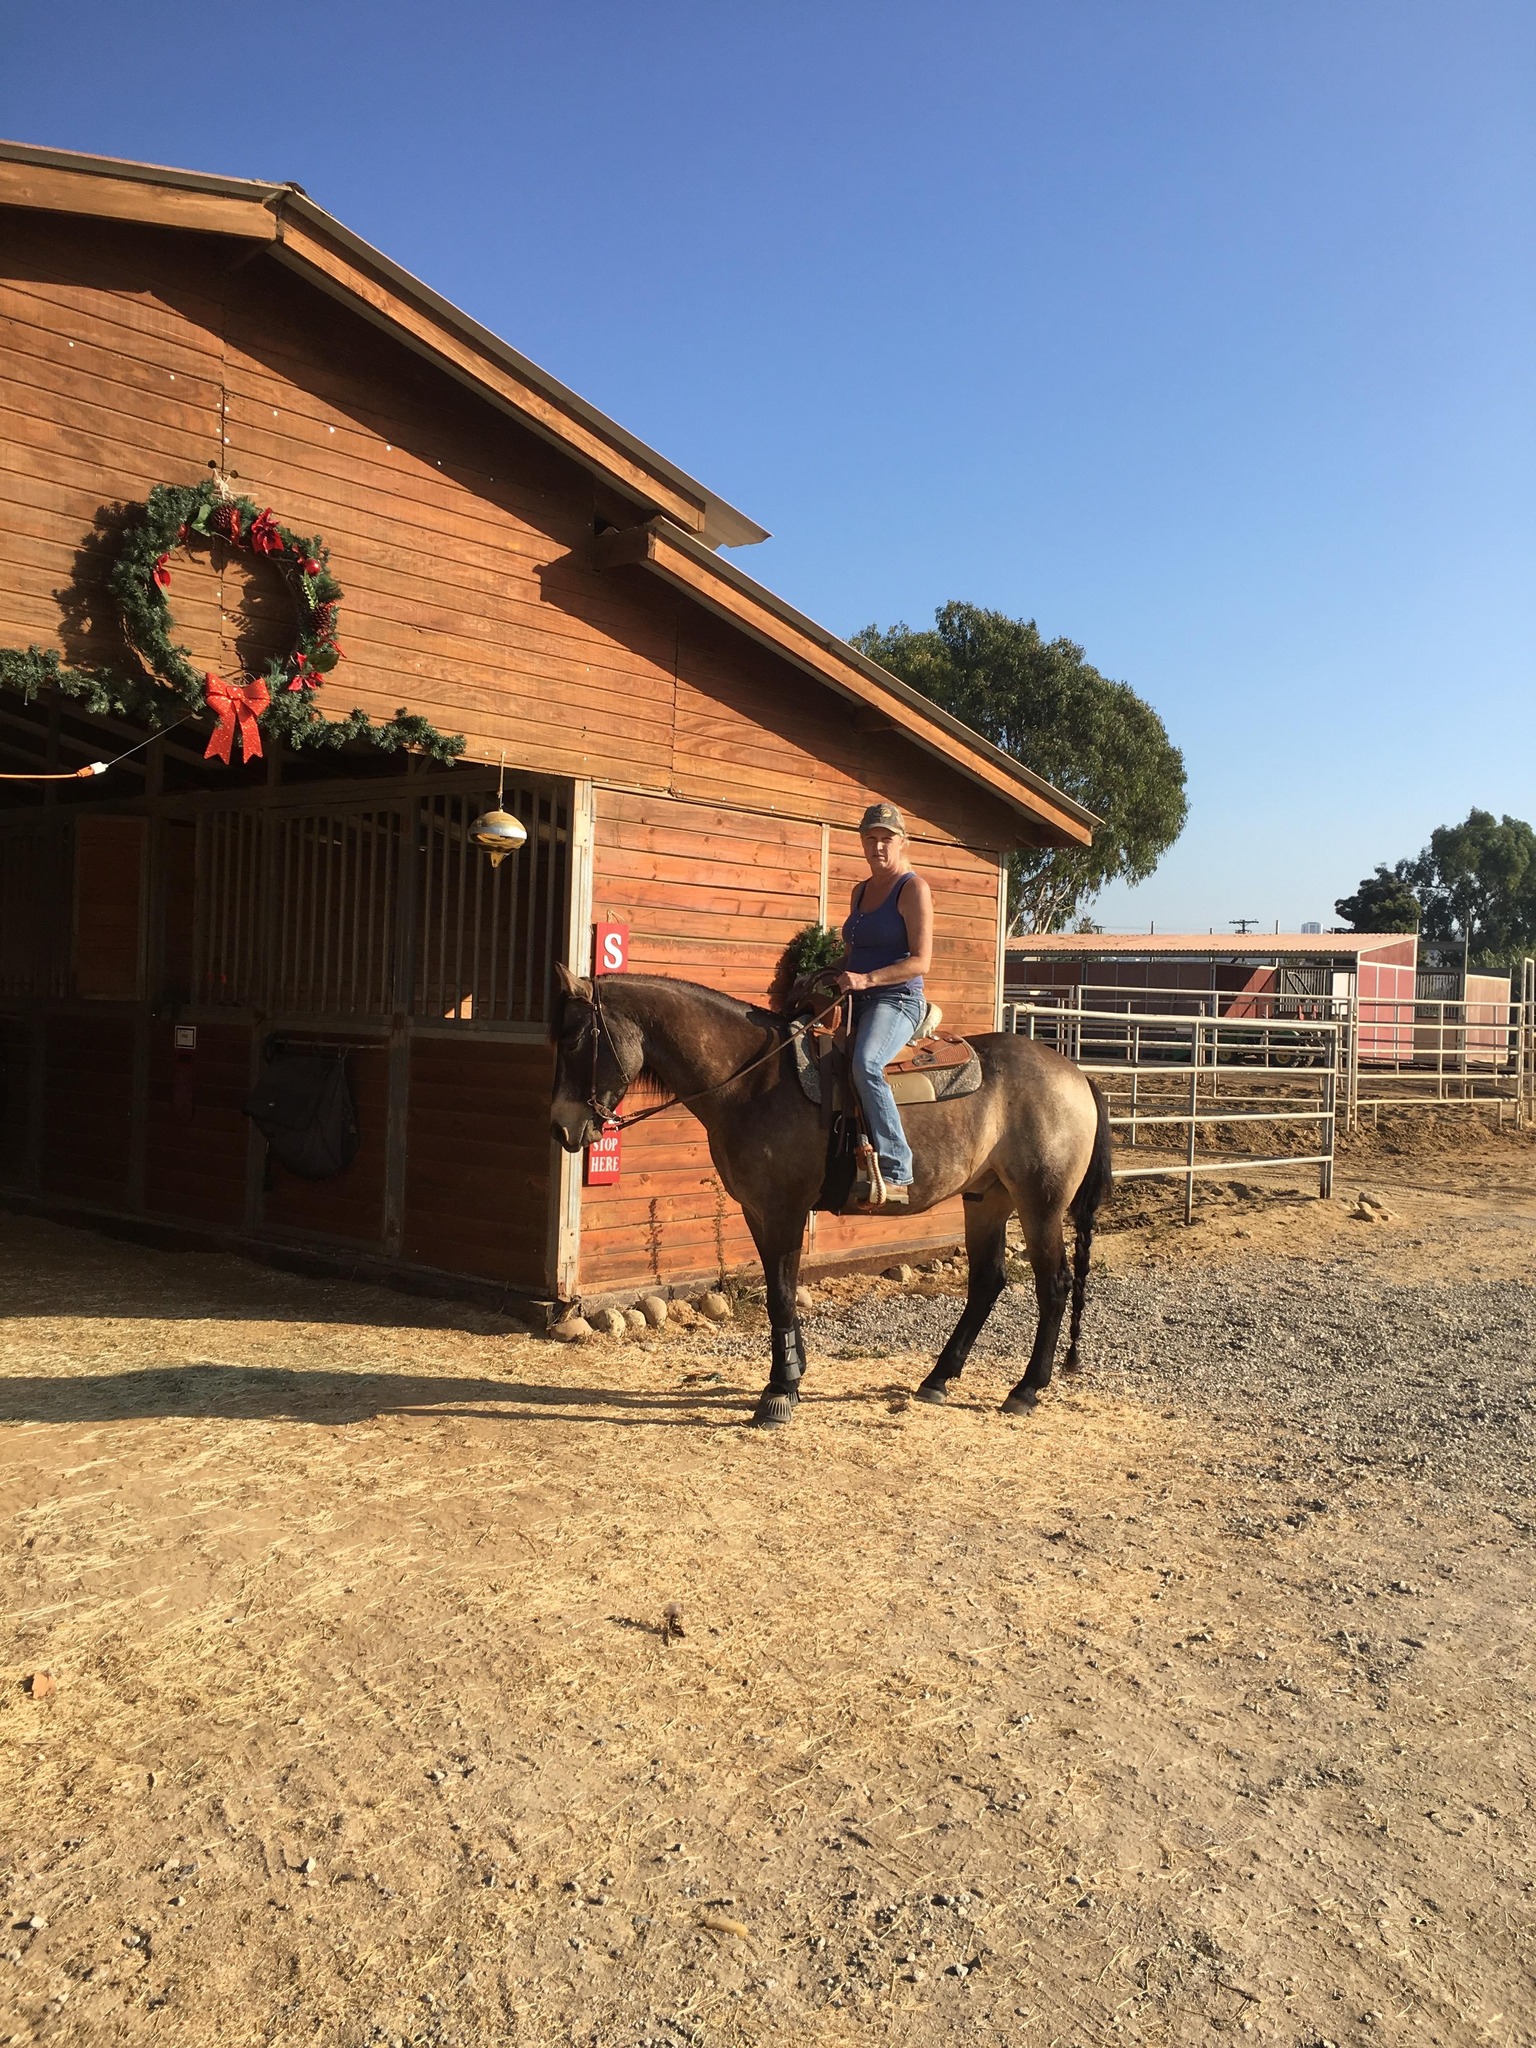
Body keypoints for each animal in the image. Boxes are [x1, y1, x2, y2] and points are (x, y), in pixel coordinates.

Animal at [549, 968, 1112, 1429]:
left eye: (575, 1037)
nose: (561, 1128)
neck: (753, 1080)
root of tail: (1076, 1074)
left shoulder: (783, 1210)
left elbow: (781, 1294)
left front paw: (778, 1393)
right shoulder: (757, 1212)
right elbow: (780, 1294)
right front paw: (790, 1379)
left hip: (1041, 1204)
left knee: (1054, 1285)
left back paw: (1026, 1389)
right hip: (986, 1197)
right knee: (987, 1281)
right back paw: (938, 1378)